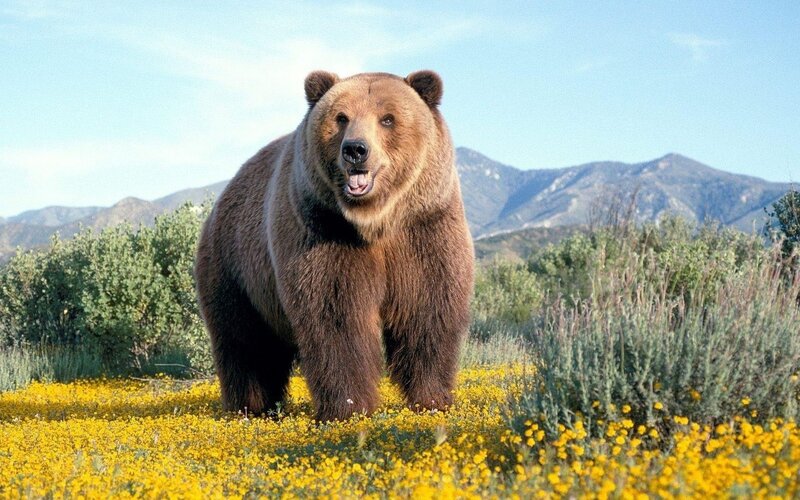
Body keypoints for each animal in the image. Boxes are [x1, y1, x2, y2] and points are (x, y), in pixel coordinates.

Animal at [194, 70, 474, 422]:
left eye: (387, 118)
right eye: (341, 117)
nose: (355, 149)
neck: (375, 221)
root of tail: (222, 197)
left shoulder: (424, 228)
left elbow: (427, 308)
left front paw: (432, 399)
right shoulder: (323, 231)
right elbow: (336, 316)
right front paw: (348, 407)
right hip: (236, 267)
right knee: (246, 341)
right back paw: (251, 407)